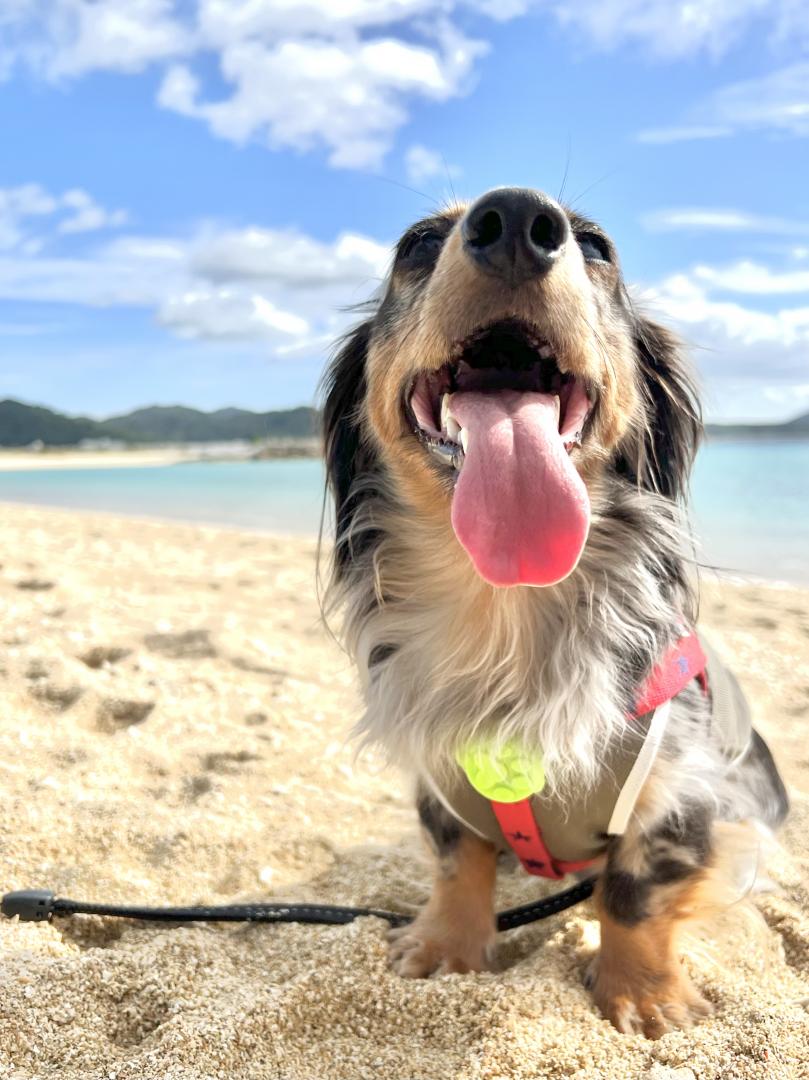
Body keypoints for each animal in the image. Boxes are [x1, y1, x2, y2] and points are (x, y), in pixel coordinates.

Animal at [319, 187, 786, 1036]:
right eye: (417, 243)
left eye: (596, 246)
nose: (514, 218)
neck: (504, 605)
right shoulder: (441, 774)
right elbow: (457, 862)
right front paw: (444, 949)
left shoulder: (685, 792)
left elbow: (632, 892)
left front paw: (642, 995)